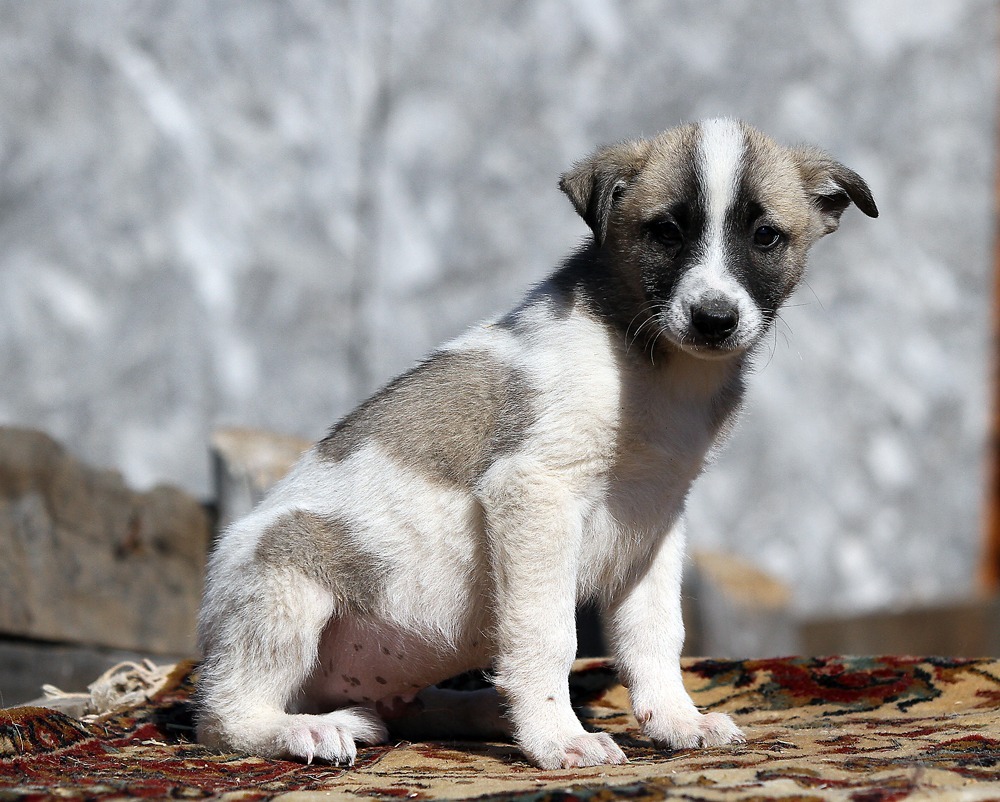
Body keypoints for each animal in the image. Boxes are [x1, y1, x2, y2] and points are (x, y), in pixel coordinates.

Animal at [199, 119, 880, 768]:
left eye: (765, 236)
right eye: (666, 232)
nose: (714, 319)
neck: (655, 366)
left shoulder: (656, 519)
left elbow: (656, 634)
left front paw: (676, 720)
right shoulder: (535, 491)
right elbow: (549, 634)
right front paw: (558, 738)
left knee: (401, 711)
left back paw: (474, 711)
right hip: (286, 580)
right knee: (222, 714)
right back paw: (303, 730)